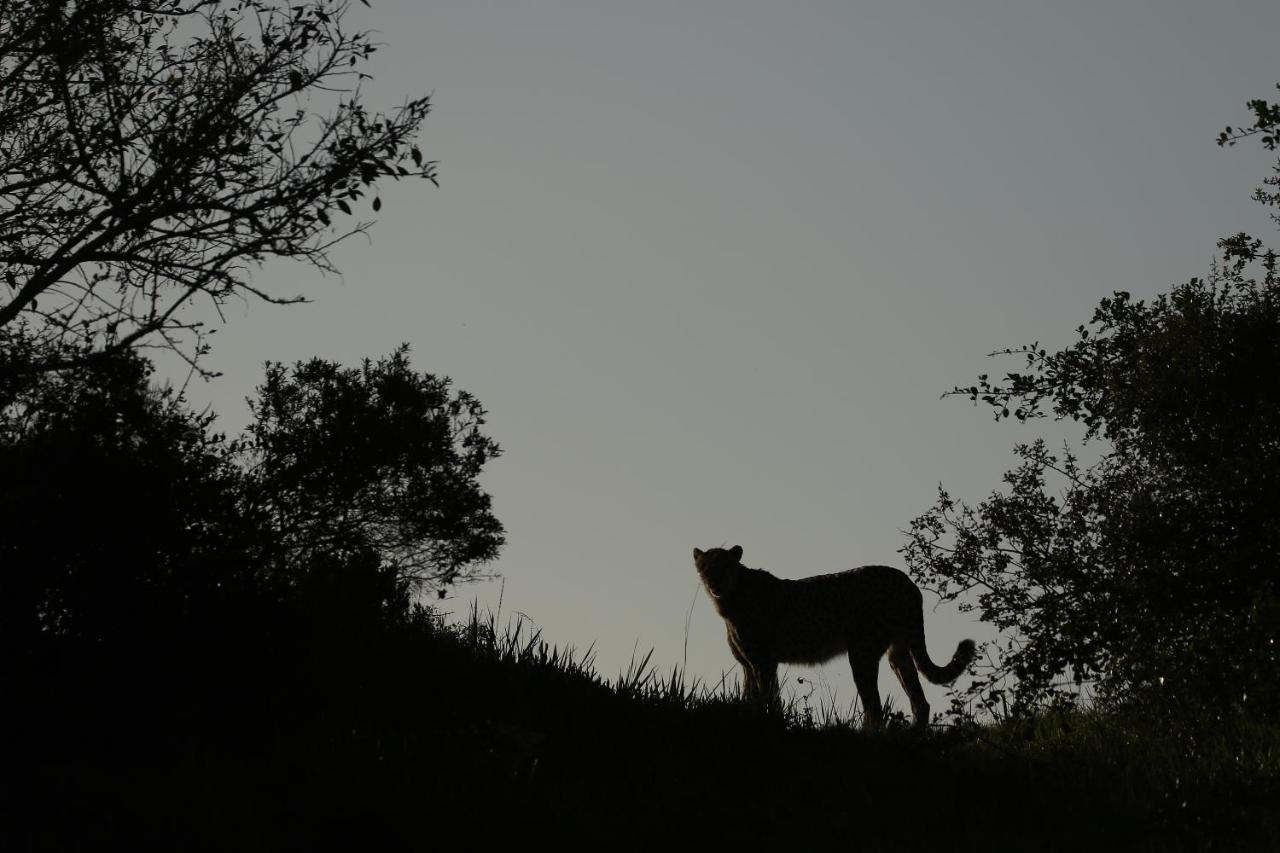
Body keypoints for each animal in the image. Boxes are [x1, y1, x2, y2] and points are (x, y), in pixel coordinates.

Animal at [696, 540, 972, 727]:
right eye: (706, 567)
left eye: (725, 566)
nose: (714, 582)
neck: (732, 595)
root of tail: (904, 578)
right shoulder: (748, 664)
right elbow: (750, 698)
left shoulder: (764, 662)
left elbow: (768, 698)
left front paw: (771, 722)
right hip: (898, 653)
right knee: (919, 701)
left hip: (862, 652)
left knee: (875, 707)